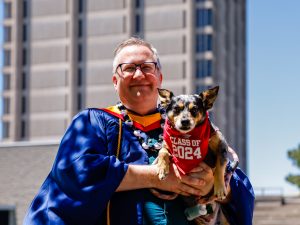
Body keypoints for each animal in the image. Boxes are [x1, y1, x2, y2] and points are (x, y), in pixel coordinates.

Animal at [157, 86, 239, 223]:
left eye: (194, 109)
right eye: (176, 109)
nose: (185, 121)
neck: (188, 136)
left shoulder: (222, 148)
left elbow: (219, 168)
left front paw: (220, 188)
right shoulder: (167, 146)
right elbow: (162, 152)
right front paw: (162, 168)